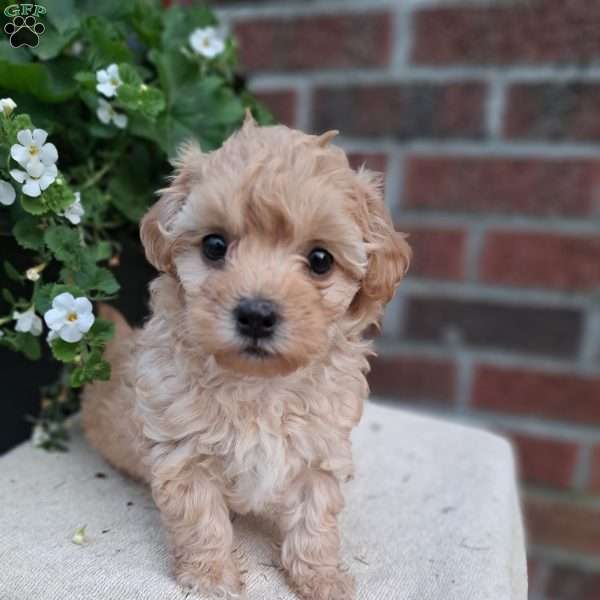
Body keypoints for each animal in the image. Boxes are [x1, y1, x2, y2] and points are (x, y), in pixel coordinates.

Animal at [82, 113, 410, 600]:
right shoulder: (185, 453)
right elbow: (201, 517)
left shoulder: (320, 449)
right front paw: (210, 576)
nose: (256, 315)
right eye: (214, 246)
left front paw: (322, 577)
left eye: (320, 259)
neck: (260, 386)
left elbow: (315, 518)